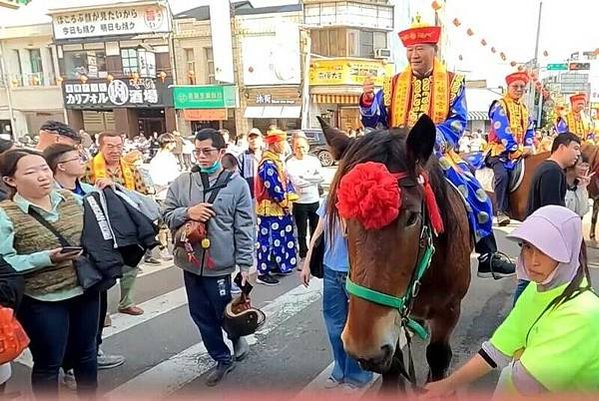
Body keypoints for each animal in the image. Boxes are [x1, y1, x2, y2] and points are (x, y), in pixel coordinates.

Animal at [318, 114, 474, 390]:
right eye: (344, 214)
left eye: (411, 217)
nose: (363, 347)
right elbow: (393, 369)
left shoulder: (449, 311)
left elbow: (438, 357)